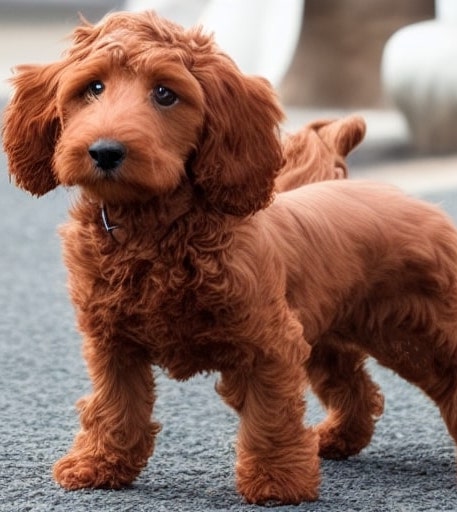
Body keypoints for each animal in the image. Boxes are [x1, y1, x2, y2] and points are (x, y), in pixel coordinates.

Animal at [5, 11, 456, 504]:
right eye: (93, 88)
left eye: (165, 93)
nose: (105, 151)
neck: (153, 232)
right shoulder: (112, 345)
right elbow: (114, 405)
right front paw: (100, 464)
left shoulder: (268, 345)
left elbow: (271, 416)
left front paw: (277, 481)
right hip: (327, 337)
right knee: (356, 387)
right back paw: (336, 438)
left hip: (419, 334)